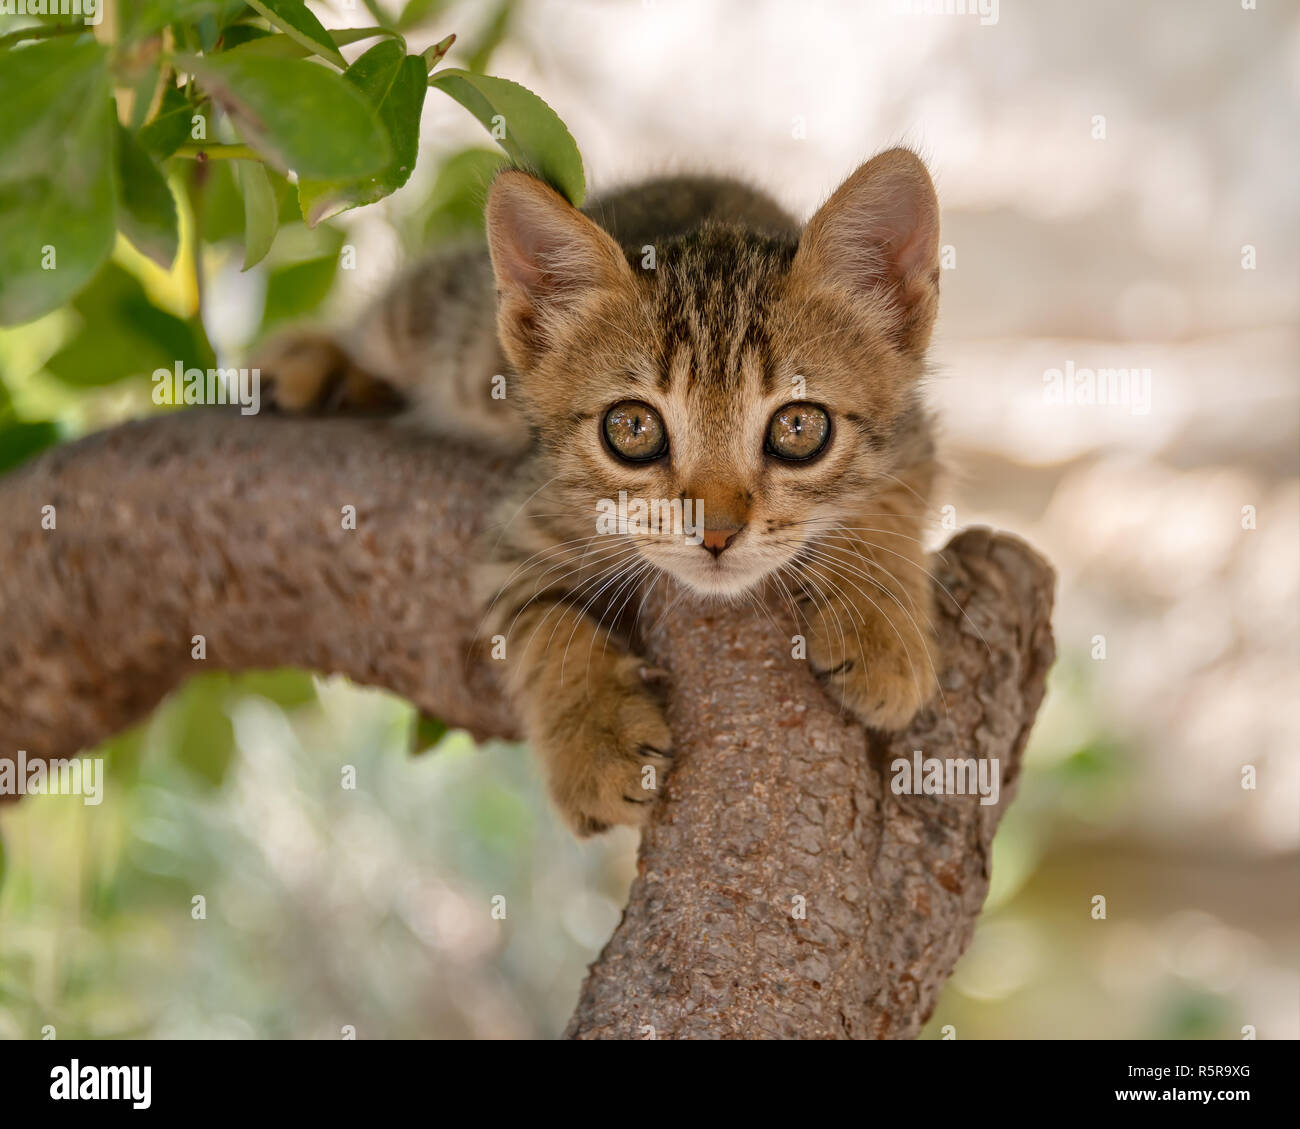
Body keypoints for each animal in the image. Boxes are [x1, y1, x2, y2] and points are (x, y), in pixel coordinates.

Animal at [256, 145, 946, 832]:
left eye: (799, 427)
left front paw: (881, 630)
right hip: (451, 336)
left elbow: (888, 510)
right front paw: (595, 744)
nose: (716, 533)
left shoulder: (914, 439)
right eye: (632, 428)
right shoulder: (528, 513)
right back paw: (317, 363)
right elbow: (540, 625)